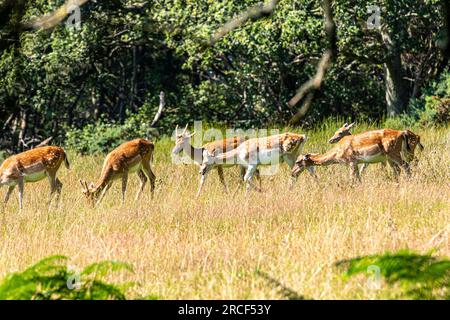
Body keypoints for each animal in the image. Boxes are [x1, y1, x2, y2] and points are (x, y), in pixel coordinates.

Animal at [290, 128, 424, 182]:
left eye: (298, 162)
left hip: (394, 153)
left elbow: (352, 178)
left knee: (406, 166)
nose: (292, 172)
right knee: (398, 170)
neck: (336, 155)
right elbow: (358, 177)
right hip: (391, 157)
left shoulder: (351, 161)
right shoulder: (356, 163)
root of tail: (402, 133)